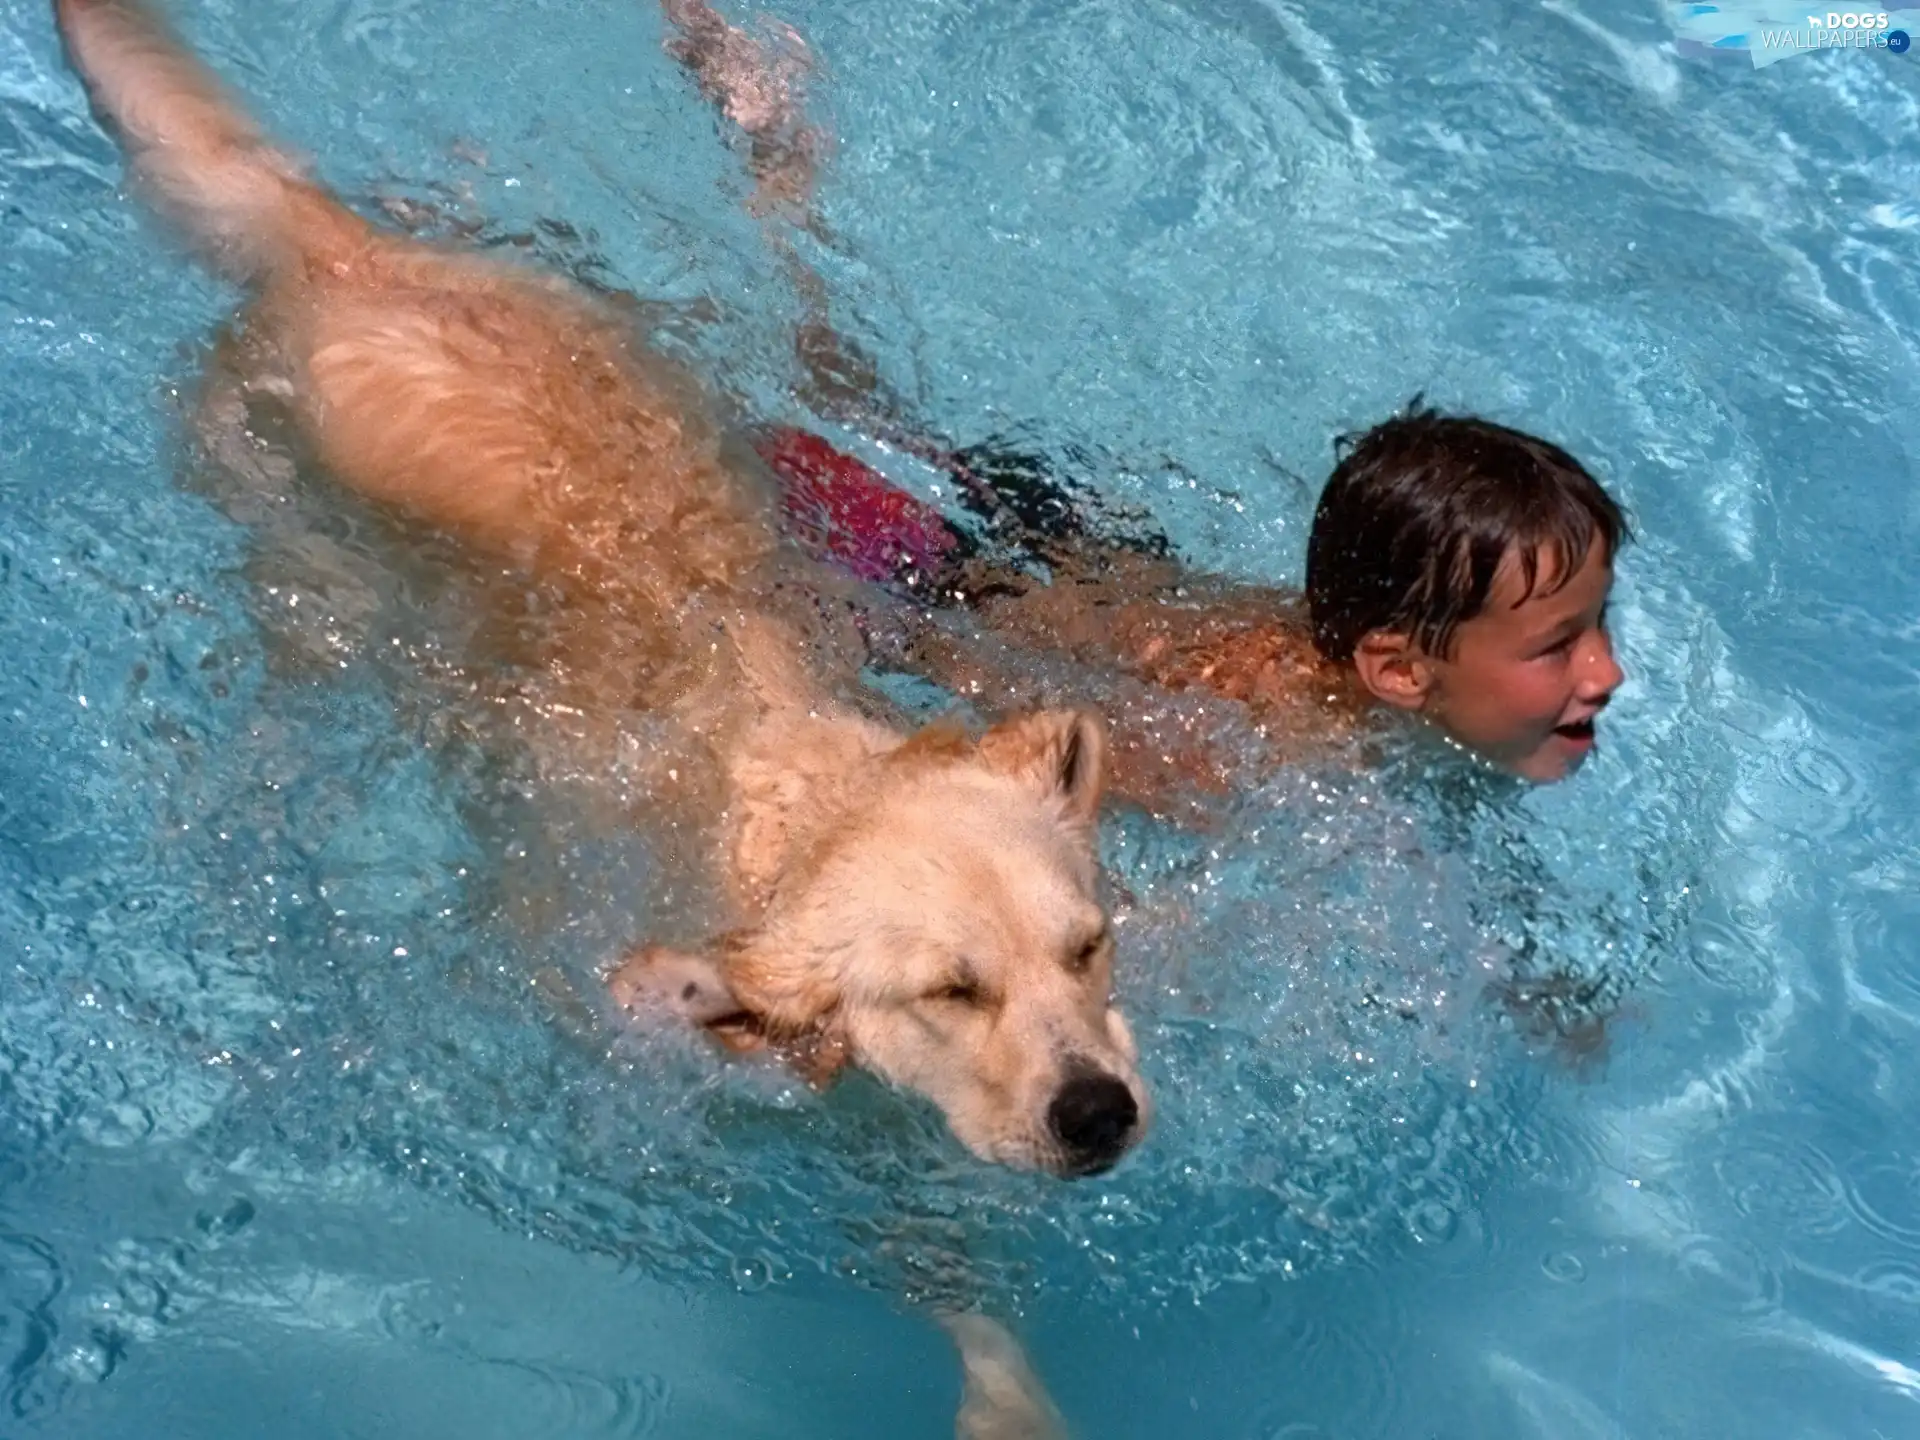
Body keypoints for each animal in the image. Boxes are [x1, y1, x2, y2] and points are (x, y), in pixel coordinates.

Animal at [52, 0, 1144, 1182]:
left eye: (1086, 947)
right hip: (283, 502)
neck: (791, 800)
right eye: (951, 989)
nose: (1097, 1111)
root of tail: (350, 256)